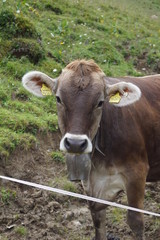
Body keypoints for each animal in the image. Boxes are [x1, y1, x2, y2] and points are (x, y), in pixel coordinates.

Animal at [21, 58, 160, 240]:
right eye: (58, 98)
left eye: (100, 102)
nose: (75, 143)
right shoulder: (90, 184)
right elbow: (98, 221)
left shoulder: (137, 173)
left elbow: (135, 221)